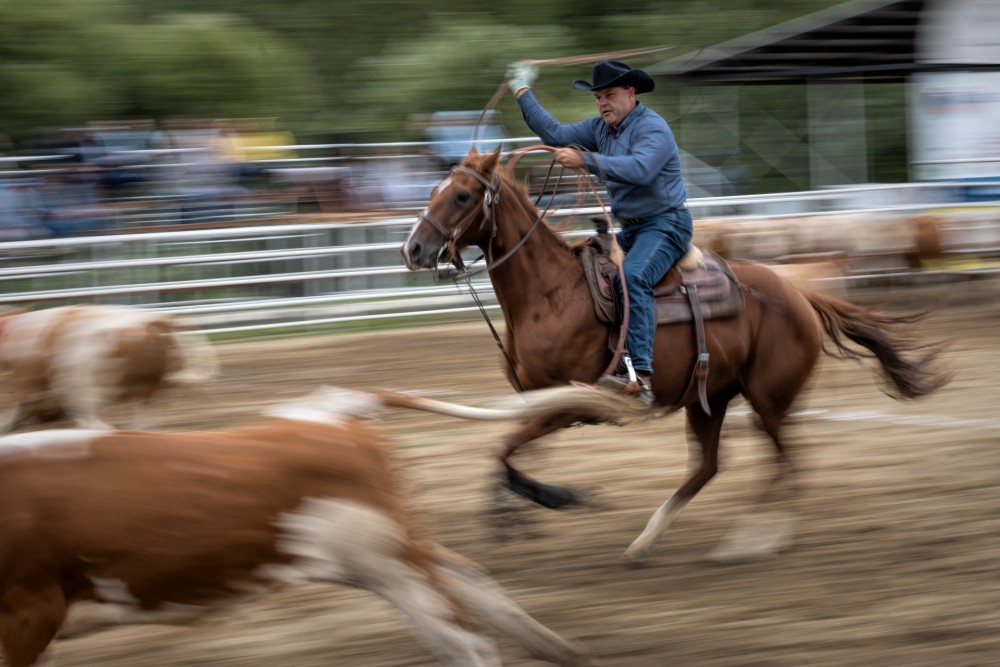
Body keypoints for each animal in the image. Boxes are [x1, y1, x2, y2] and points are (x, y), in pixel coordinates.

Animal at [0, 304, 217, 434]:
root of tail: (154, 322)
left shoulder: (29, 385)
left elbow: (16, 411)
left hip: (94, 387)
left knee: (94, 422)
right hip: (150, 391)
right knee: (142, 423)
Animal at [0, 384, 640, 664]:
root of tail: (334, 410)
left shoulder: (28, 615)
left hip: (388, 562)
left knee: (463, 637)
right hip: (396, 551)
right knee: (476, 586)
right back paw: (561, 651)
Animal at [400, 149, 944, 560]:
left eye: (462, 195)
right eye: (431, 192)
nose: (413, 249)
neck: (551, 295)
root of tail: (799, 295)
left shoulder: (570, 404)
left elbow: (502, 452)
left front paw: (551, 502)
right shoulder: (539, 403)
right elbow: (508, 456)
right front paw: (532, 507)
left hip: (769, 399)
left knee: (789, 462)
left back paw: (755, 540)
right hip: (710, 398)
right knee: (709, 467)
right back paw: (647, 540)